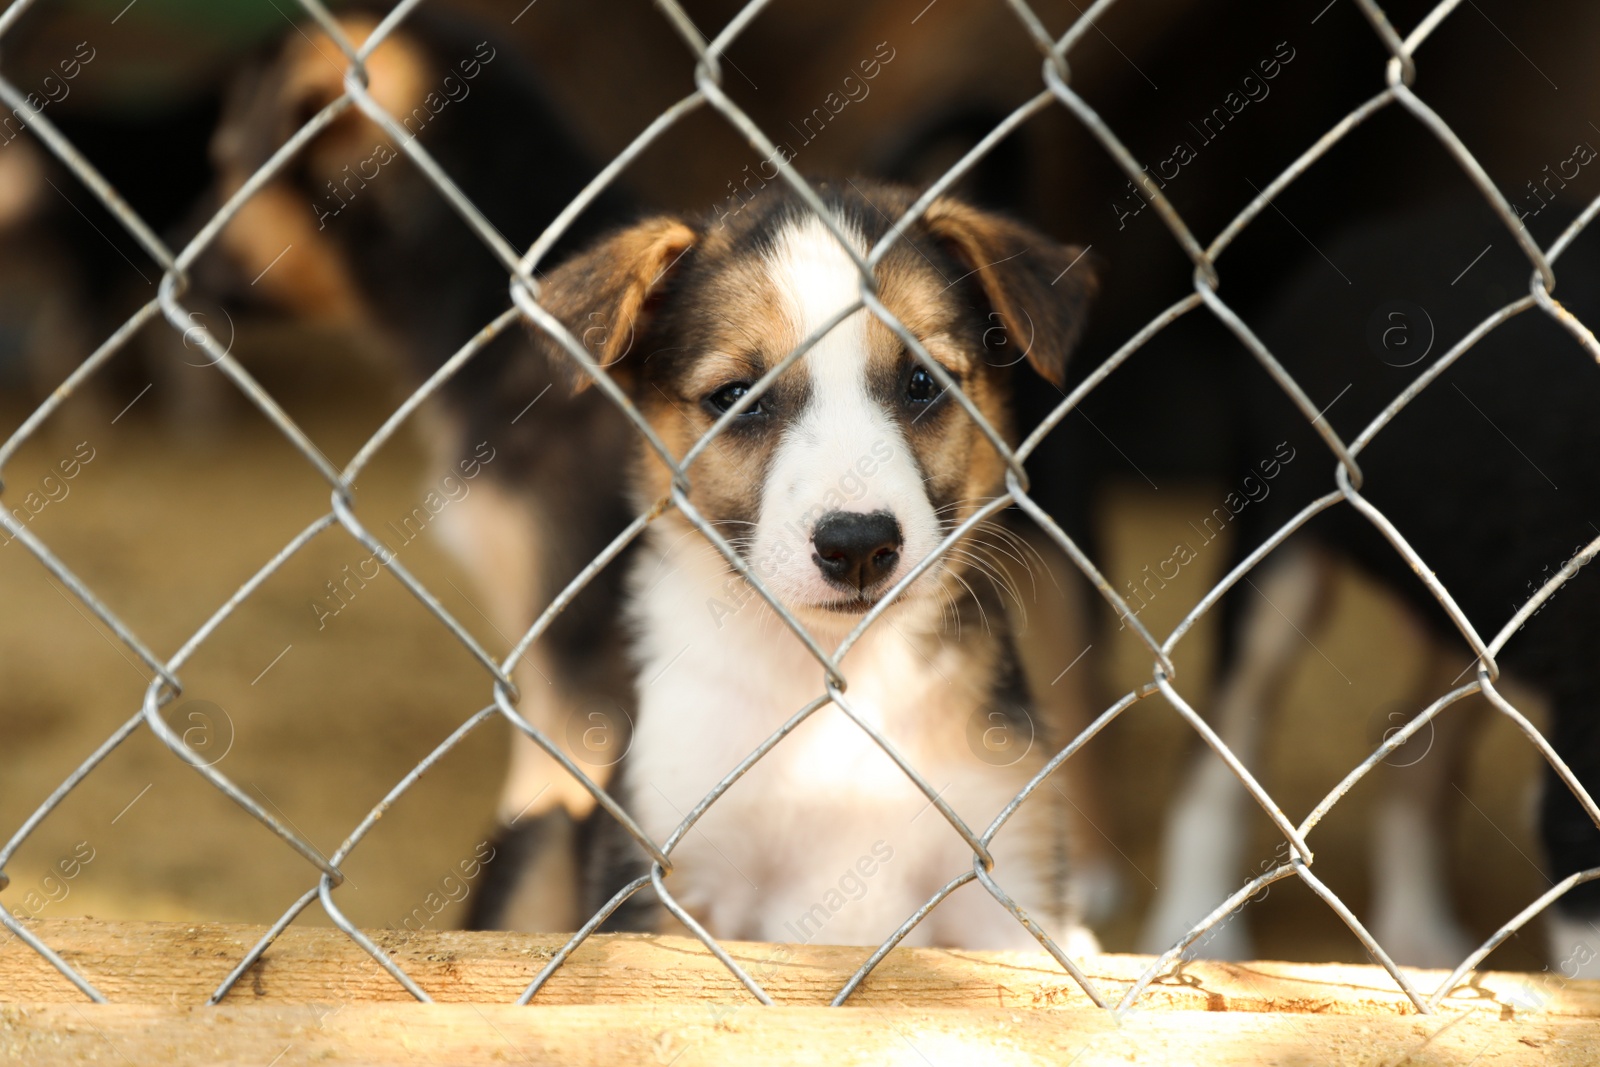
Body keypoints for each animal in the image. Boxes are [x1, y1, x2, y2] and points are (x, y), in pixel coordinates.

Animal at [512, 177, 1100, 953]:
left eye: (924, 382)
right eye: (736, 397)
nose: (857, 545)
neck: (835, 673)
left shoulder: (1008, 886)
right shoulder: (662, 879)